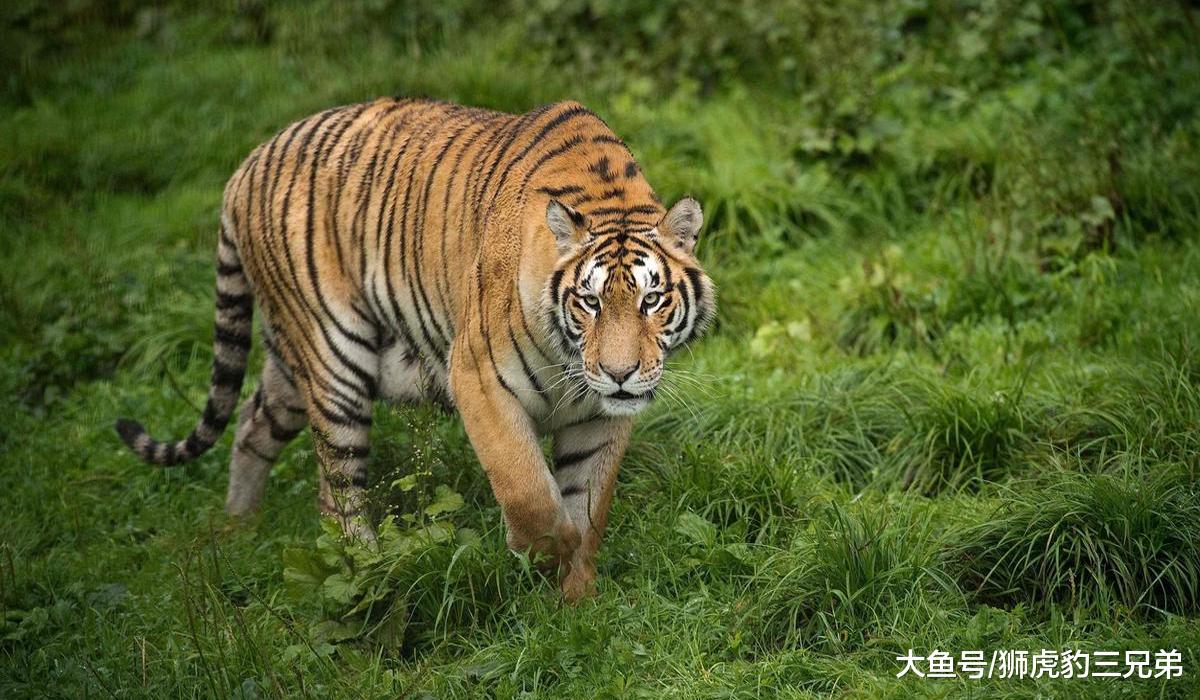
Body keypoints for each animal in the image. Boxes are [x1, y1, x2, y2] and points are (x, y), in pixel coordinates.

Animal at [115, 97, 716, 600]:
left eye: (651, 300)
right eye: (589, 303)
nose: (619, 374)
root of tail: (247, 164)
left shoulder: (600, 417)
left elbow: (590, 504)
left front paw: (575, 602)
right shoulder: (477, 377)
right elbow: (527, 489)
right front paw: (547, 552)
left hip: (289, 363)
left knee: (249, 422)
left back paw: (239, 528)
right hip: (335, 356)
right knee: (335, 493)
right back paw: (370, 571)